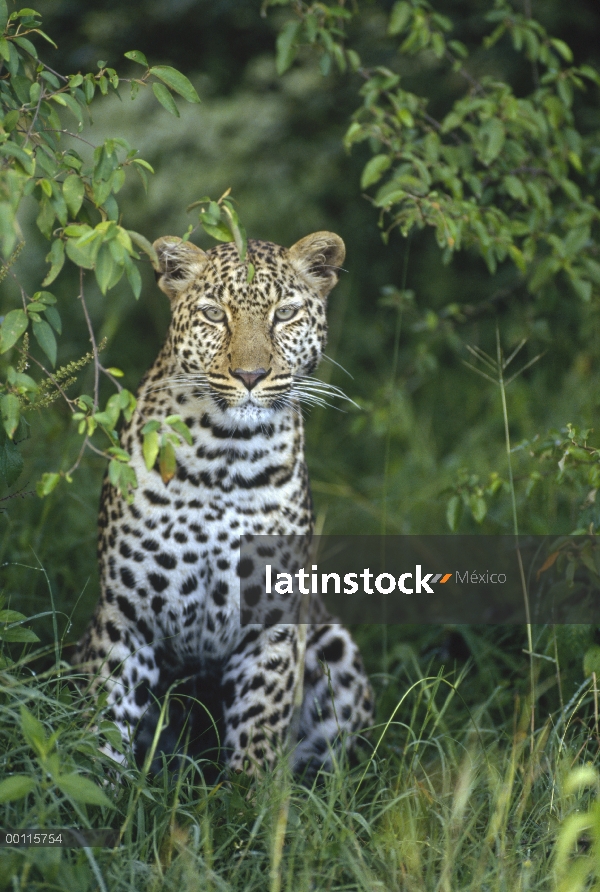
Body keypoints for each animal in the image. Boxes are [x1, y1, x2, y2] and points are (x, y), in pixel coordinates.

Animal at [74, 230, 376, 772]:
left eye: (284, 313)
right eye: (215, 315)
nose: (251, 375)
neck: (225, 459)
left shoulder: (273, 629)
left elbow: (258, 740)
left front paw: (250, 793)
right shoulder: (124, 619)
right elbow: (104, 730)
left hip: (333, 646)